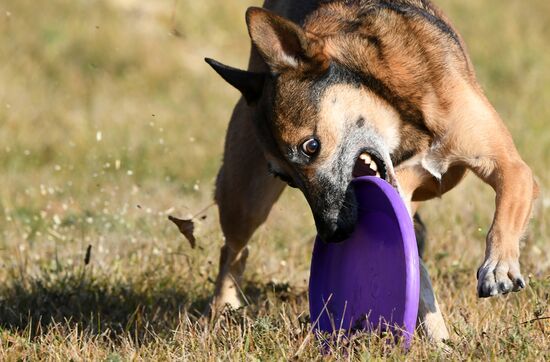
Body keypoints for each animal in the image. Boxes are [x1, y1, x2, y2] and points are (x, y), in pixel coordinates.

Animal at [204, 0, 540, 342]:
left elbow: (506, 205)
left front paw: (497, 268)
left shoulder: (509, 166)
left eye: (311, 146)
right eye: (286, 178)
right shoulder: (401, 191)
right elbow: (417, 277)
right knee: (232, 249)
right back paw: (222, 310)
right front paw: (437, 339)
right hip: (244, 198)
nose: (333, 233)